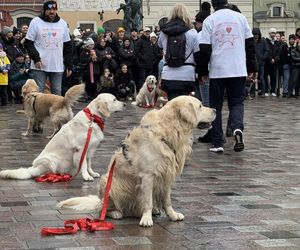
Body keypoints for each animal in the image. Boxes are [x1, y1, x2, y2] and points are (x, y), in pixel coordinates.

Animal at [56, 95, 216, 227]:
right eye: (200, 106)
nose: (215, 109)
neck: (167, 133)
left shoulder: (166, 176)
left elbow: (167, 200)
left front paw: (172, 215)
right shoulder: (147, 175)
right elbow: (148, 201)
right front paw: (146, 219)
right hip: (108, 182)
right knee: (105, 208)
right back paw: (116, 212)